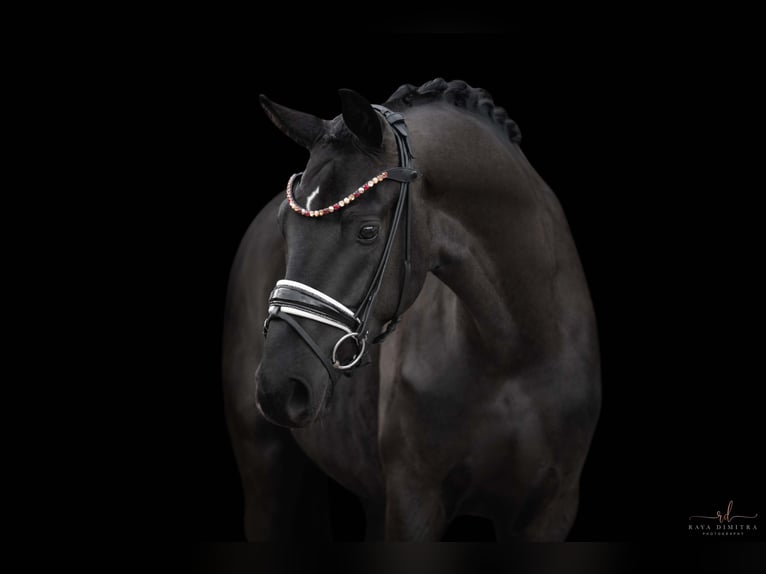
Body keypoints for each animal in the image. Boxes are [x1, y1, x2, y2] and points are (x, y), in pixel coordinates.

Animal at [222, 78, 601, 541]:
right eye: (285, 225)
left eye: (368, 231)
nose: (279, 387)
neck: (515, 352)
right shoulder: (413, 499)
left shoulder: (551, 507)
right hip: (265, 466)